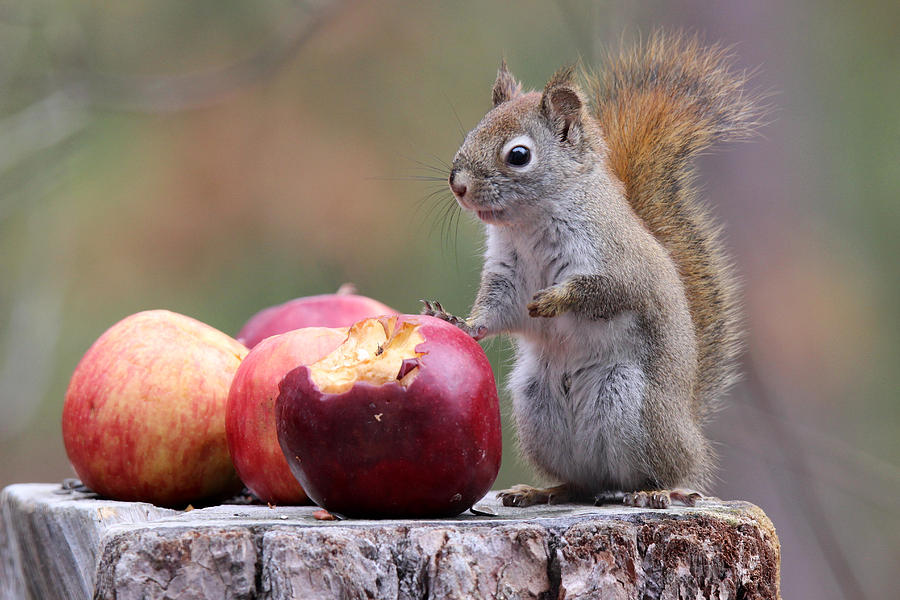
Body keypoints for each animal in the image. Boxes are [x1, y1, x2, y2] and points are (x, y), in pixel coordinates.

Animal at [426, 32, 764, 508]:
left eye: (518, 155)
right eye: (473, 131)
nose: (458, 185)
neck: (530, 225)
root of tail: (691, 429)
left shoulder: (618, 261)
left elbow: (607, 291)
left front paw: (555, 300)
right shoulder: (507, 275)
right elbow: (494, 311)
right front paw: (459, 322)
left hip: (631, 406)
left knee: (653, 473)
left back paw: (655, 491)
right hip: (537, 407)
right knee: (582, 483)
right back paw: (542, 490)